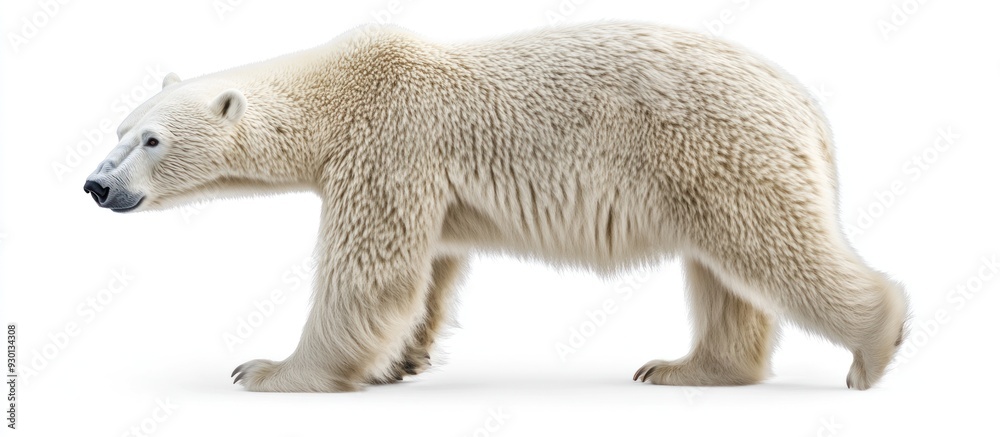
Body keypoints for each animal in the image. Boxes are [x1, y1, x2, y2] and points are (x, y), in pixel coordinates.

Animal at [84, 22, 908, 391]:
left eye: (151, 139)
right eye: (120, 127)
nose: (95, 185)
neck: (342, 89)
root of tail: (809, 108)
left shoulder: (388, 146)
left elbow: (367, 273)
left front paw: (270, 369)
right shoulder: (429, 186)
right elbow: (431, 270)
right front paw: (402, 361)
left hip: (723, 149)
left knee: (775, 249)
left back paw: (876, 344)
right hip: (707, 172)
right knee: (727, 274)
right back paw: (684, 368)